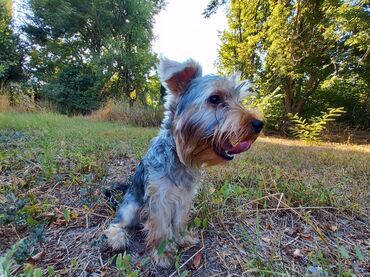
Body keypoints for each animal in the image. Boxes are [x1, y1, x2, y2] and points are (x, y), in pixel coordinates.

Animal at [105, 55, 264, 266]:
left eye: (239, 99)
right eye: (215, 99)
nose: (258, 124)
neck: (179, 157)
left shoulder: (184, 198)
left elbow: (179, 221)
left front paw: (182, 238)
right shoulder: (159, 199)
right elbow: (160, 227)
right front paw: (163, 253)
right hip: (131, 206)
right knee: (117, 223)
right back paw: (117, 238)